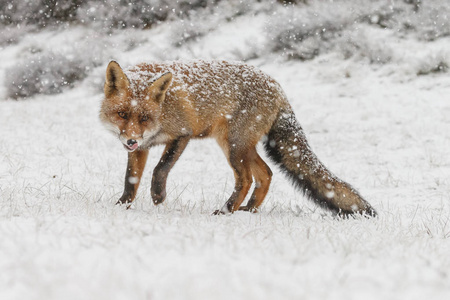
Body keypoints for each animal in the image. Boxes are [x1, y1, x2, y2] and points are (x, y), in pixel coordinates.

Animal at [100, 60, 378, 216]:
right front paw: (122, 205)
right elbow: (131, 179)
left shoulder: (182, 134)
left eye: (145, 117)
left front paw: (158, 196)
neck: (165, 109)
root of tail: (278, 87)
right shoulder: (142, 147)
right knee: (266, 174)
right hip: (241, 146)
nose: (131, 141)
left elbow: (160, 169)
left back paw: (227, 211)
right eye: (122, 114)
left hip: (233, 146)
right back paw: (249, 210)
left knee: (245, 179)